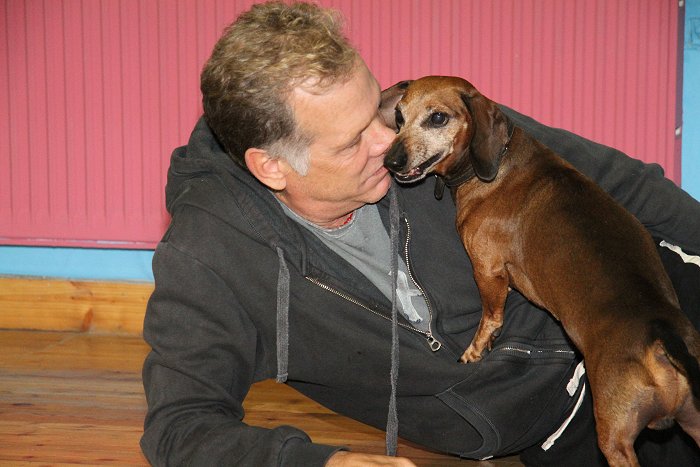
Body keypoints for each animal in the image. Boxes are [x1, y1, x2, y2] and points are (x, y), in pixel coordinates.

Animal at [380, 76, 700, 467]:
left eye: (437, 118)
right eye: (399, 116)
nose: (390, 161)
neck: (497, 165)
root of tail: (660, 329)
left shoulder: (487, 269)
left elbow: (490, 318)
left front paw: (475, 351)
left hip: (614, 439)